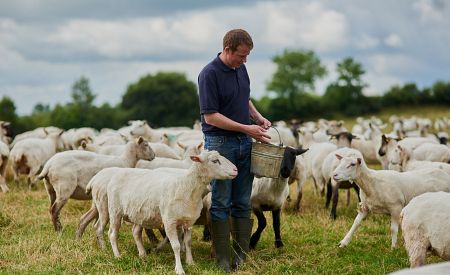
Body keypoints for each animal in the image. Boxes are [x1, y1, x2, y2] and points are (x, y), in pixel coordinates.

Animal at [99, 151, 237, 275]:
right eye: (215, 161)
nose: (236, 170)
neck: (187, 187)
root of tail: (117, 174)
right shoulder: (169, 221)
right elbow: (176, 245)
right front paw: (179, 269)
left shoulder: (188, 221)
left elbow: (188, 242)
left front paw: (190, 262)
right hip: (115, 210)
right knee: (112, 234)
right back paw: (117, 255)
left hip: (139, 214)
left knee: (135, 232)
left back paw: (142, 254)